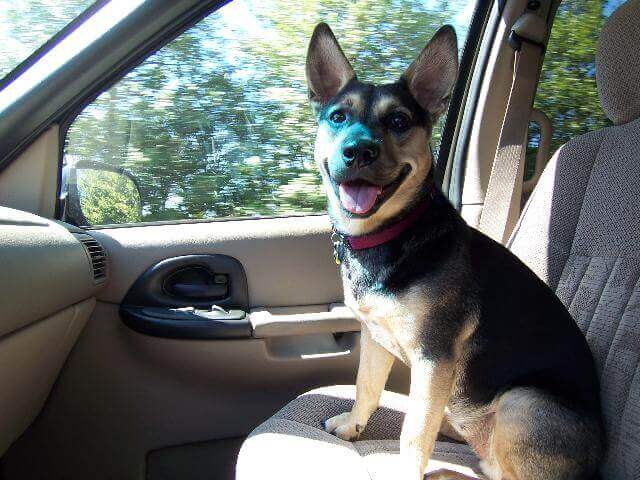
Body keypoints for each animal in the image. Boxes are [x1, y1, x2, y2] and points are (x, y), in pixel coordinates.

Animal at [308, 23, 604, 480]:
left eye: (399, 120)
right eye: (339, 116)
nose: (358, 151)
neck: (394, 232)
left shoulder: (434, 359)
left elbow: (414, 433)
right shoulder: (375, 338)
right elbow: (366, 387)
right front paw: (352, 425)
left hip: (521, 400)